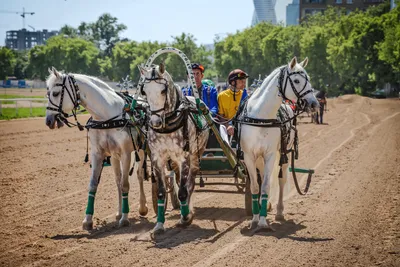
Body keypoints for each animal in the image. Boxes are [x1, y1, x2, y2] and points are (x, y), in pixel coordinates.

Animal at [45, 68, 148, 231]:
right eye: (47, 93)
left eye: (55, 93)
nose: (48, 120)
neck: (106, 117)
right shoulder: (98, 154)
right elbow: (94, 185)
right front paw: (88, 220)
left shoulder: (126, 154)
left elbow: (126, 184)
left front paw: (125, 218)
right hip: (114, 156)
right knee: (118, 180)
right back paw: (119, 212)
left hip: (142, 150)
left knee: (140, 174)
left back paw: (143, 207)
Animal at [139, 63, 209, 234]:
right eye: (144, 91)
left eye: (163, 91)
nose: (155, 122)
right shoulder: (157, 158)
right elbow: (161, 192)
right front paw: (159, 225)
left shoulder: (183, 157)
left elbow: (183, 191)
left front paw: (186, 218)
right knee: (178, 180)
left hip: (195, 156)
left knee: (190, 184)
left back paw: (187, 212)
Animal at [238, 58, 318, 230]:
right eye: (297, 80)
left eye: (308, 79)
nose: (314, 104)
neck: (261, 118)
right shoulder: (249, 156)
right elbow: (255, 186)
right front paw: (255, 219)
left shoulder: (270, 155)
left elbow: (266, 186)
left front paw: (262, 222)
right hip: (260, 159)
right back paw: (266, 205)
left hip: (284, 154)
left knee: (281, 181)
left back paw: (279, 211)